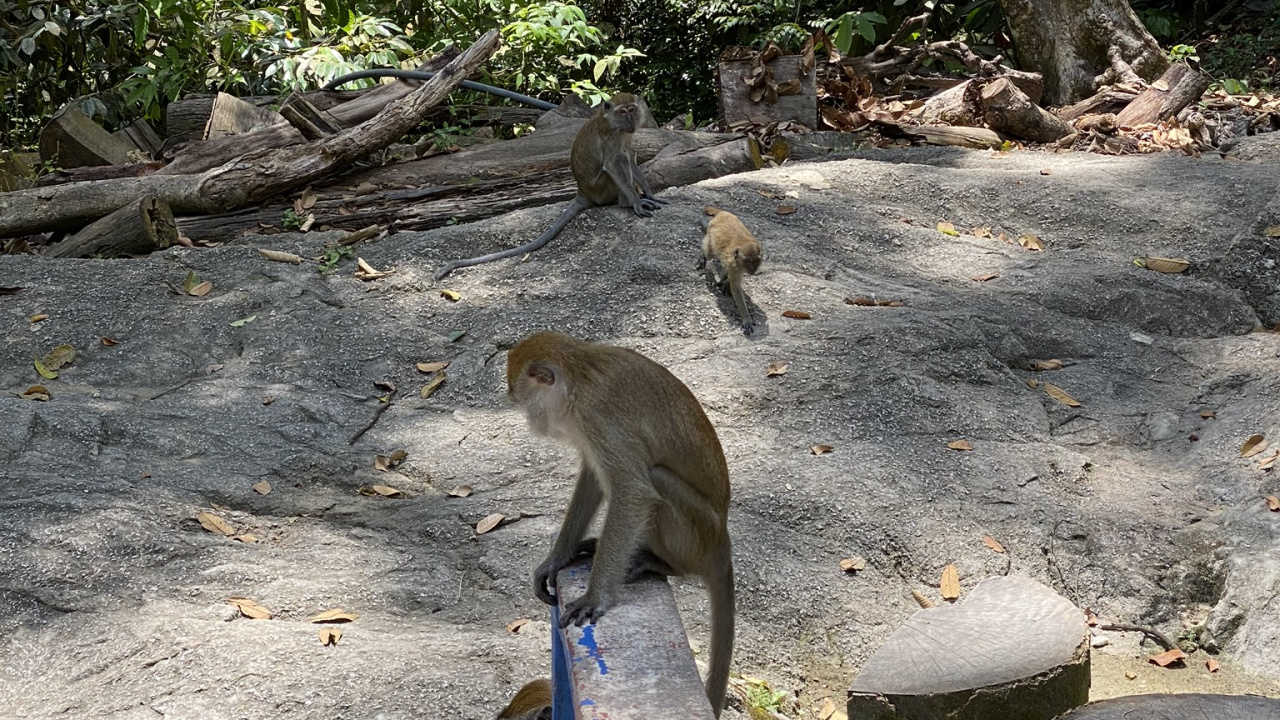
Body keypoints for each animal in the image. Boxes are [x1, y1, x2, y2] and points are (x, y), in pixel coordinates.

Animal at [434, 93, 665, 280]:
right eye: (623, 111)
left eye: (632, 110)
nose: (630, 120)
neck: (615, 124)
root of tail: (582, 192)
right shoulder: (612, 136)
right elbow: (614, 163)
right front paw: (636, 201)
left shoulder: (626, 134)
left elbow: (630, 156)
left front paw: (649, 193)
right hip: (602, 188)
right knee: (619, 164)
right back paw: (626, 203)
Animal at [506, 331, 735, 717]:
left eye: (525, 402)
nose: (530, 422)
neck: (579, 377)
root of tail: (723, 539)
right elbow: (593, 477)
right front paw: (556, 559)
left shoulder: (596, 416)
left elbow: (633, 491)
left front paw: (596, 597)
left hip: (697, 534)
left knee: (656, 479)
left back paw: (659, 562)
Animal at [698, 206, 763, 335]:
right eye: (748, 261)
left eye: (756, 261)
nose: (753, 269)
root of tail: (722, 213)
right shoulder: (734, 265)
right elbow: (736, 287)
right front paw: (746, 318)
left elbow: (732, 279)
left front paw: (725, 282)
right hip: (711, 232)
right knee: (709, 253)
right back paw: (703, 256)